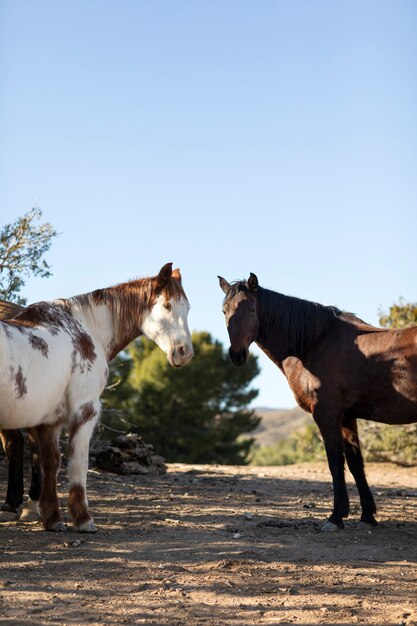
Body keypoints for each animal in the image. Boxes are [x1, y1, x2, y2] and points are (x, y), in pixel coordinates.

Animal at [0, 260, 192, 528]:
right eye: (167, 306)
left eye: (188, 308)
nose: (184, 352)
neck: (83, 329)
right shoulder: (85, 409)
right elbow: (77, 464)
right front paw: (82, 519)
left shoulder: (49, 420)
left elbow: (50, 463)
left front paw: (52, 518)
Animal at [218, 270, 416, 528]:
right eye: (225, 311)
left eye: (252, 309)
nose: (237, 354)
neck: (314, 342)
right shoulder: (347, 417)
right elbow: (355, 463)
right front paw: (367, 516)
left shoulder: (326, 414)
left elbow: (335, 461)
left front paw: (336, 516)